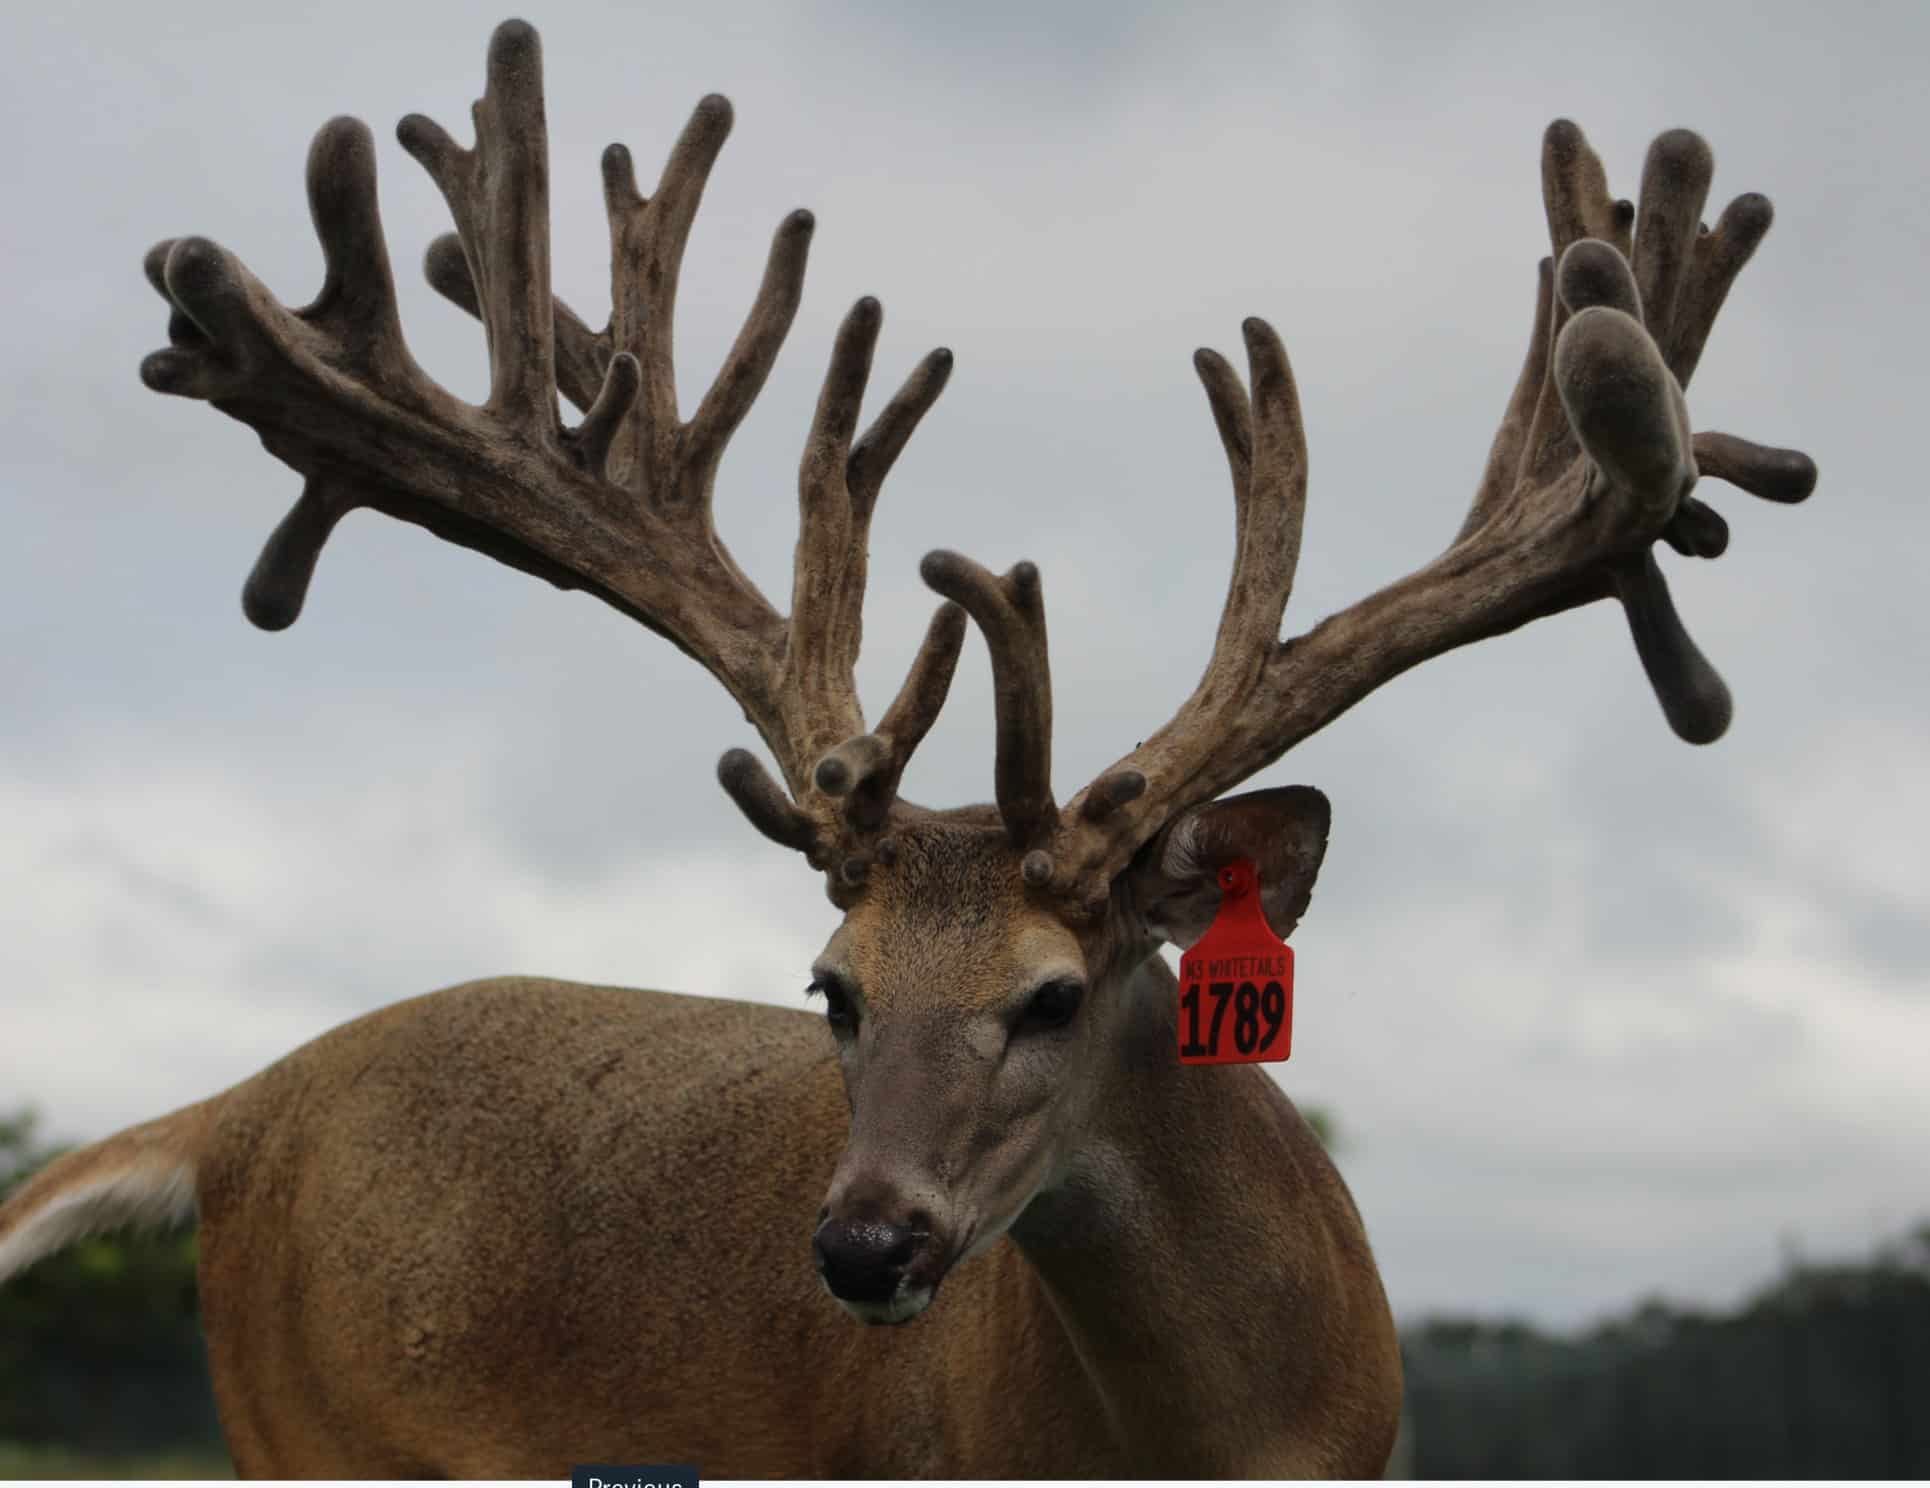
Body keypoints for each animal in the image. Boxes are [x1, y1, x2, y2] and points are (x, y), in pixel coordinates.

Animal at [0, 18, 1817, 1479]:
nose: (865, 1247)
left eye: (1056, 994)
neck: (1220, 1441)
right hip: (317, 1428)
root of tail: (242, 1105)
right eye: (832, 987)